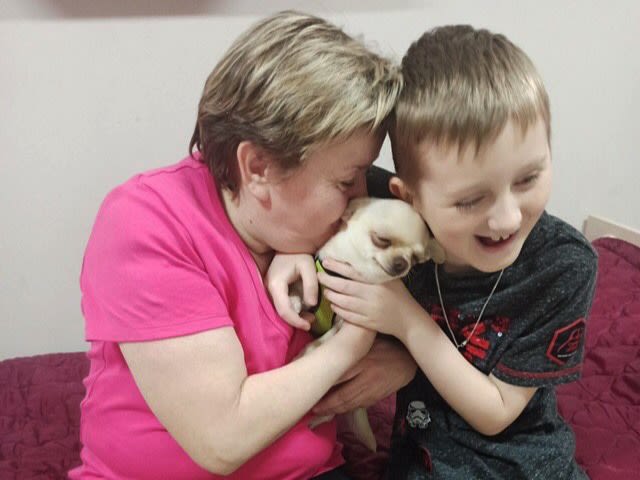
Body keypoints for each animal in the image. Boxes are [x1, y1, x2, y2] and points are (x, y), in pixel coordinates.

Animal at [292, 195, 442, 450]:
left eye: (415, 259)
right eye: (381, 240)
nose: (402, 263)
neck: (350, 268)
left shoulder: (346, 318)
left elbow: (329, 337)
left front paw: (310, 349)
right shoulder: (317, 281)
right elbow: (305, 291)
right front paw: (292, 299)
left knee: (331, 413)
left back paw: (319, 419)